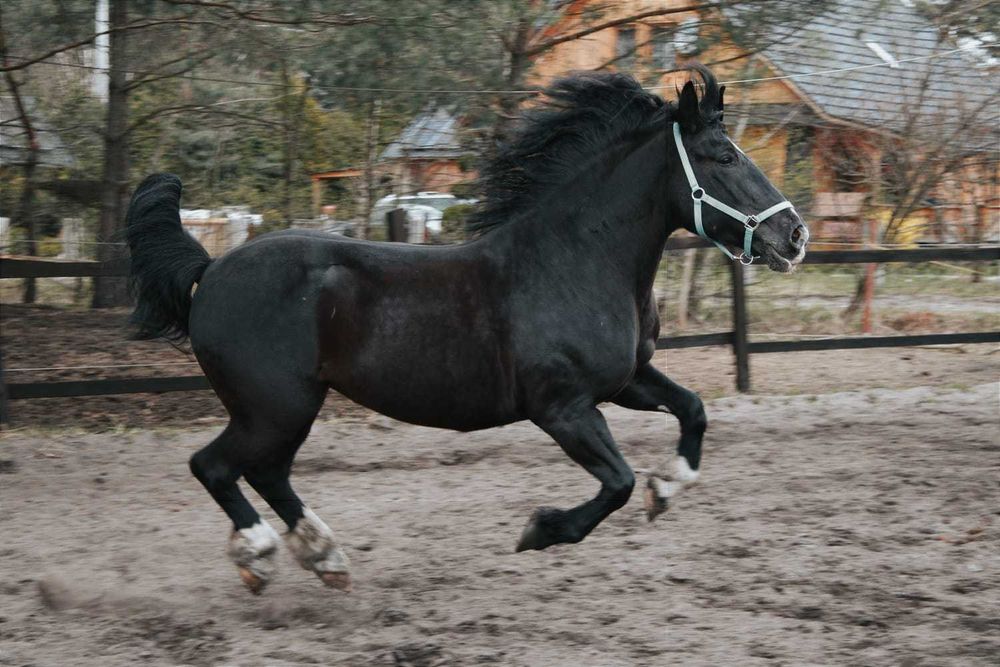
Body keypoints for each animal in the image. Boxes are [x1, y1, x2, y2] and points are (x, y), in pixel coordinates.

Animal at [129, 65, 808, 592]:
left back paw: (326, 559)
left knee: (268, 473)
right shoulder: (562, 407)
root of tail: (211, 269)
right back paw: (262, 556)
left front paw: (666, 489)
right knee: (215, 467)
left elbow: (693, 410)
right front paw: (541, 529)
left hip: (290, 407)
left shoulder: (626, 380)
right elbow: (616, 482)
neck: (574, 260)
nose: (795, 236)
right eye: (725, 157)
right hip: (273, 407)